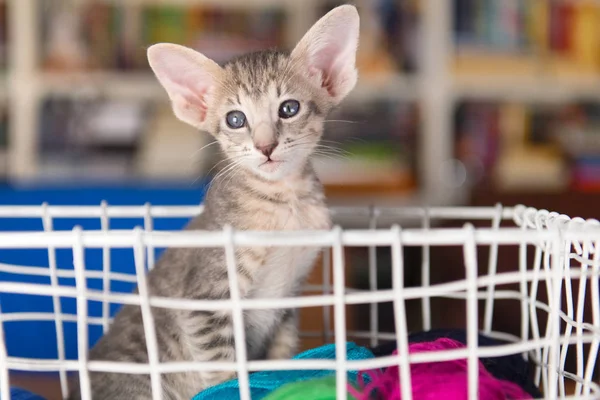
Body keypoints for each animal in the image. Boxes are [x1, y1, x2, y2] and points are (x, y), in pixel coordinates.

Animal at [69, 5, 360, 400]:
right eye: (235, 119)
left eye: (289, 108)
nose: (266, 147)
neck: (285, 203)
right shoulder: (203, 304)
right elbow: (224, 370)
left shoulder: (288, 300)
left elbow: (282, 356)